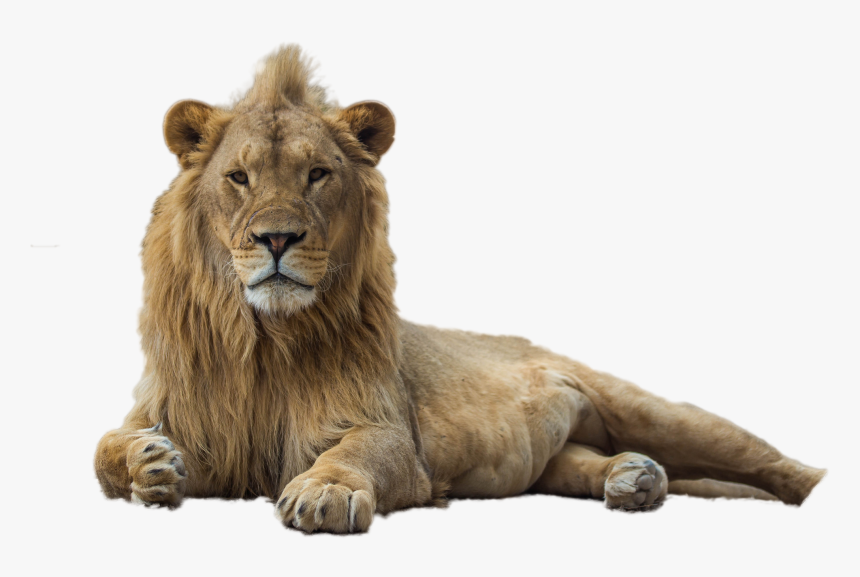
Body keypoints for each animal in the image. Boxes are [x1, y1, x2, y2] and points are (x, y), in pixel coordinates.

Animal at [94, 45, 825, 533]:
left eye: (318, 174)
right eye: (239, 177)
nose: (277, 238)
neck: (264, 339)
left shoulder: (392, 431)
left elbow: (356, 449)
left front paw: (324, 490)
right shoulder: (188, 417)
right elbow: (103, 450)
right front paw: (147, 463)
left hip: (654, 410)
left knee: (774, 462)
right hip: (555, 457)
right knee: (582, 460)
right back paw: (633, 478)